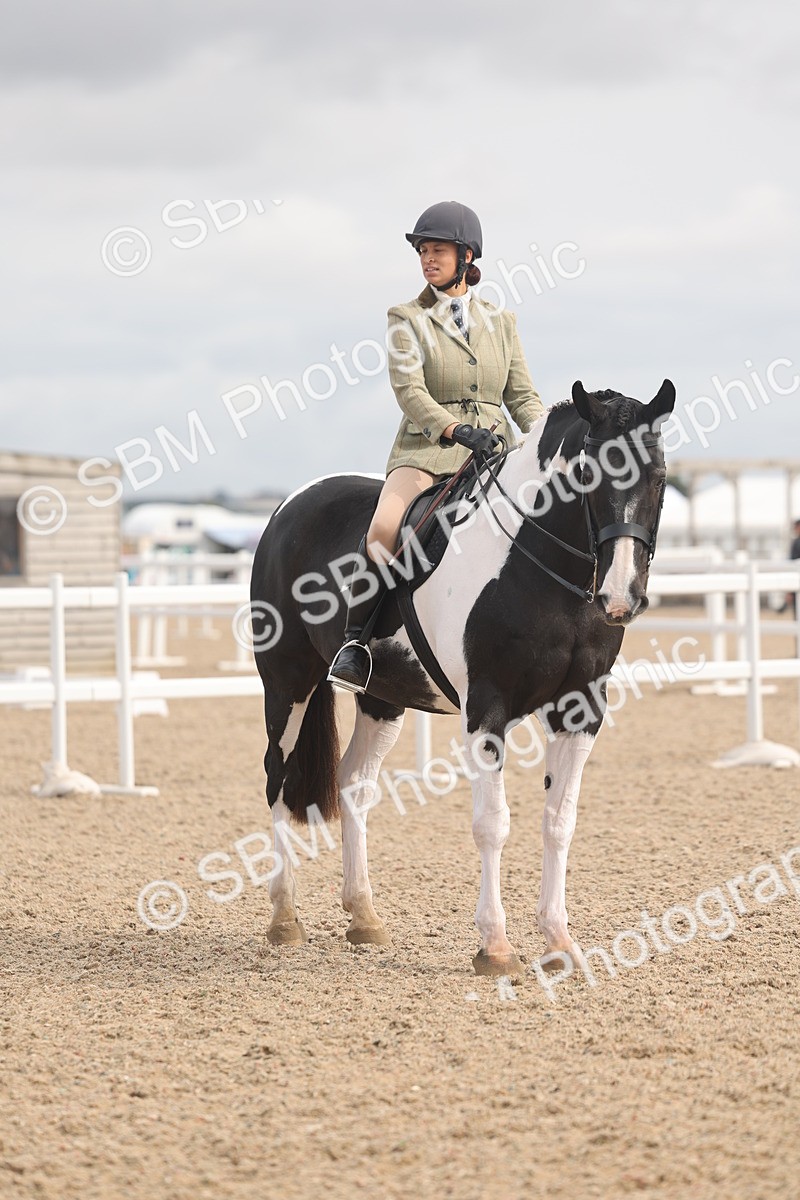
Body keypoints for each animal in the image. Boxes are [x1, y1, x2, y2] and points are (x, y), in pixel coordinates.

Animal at [250, 379, 676, 975]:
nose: (619, 598)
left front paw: (559, 942)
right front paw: (495, 947)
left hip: (382, 698)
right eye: (589, 475)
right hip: (286, 682)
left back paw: (364, 917)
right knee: (279, 777)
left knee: (355, 782)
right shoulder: (486, 709)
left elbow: (559, 820)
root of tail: (291, 505)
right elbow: (492, 823)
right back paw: (285, 918)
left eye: (658, 477)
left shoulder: (581, 709)